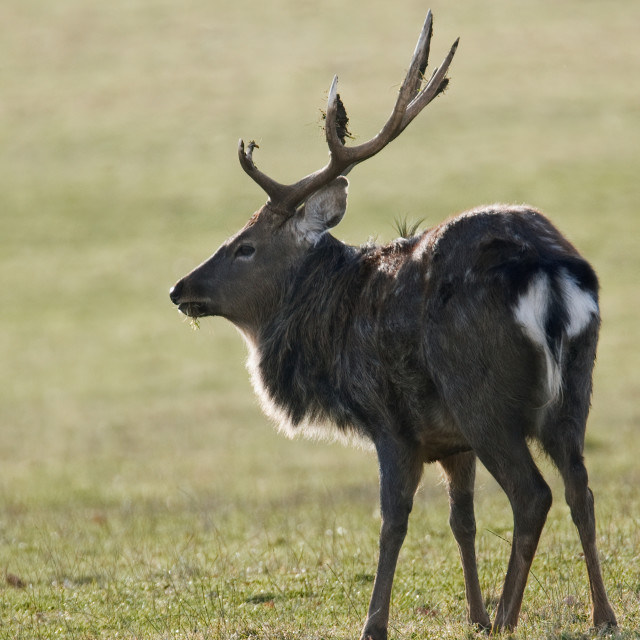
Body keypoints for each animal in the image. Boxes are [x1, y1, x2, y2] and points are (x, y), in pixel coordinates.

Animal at [169, 11, 616, 640]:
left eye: (244, 247)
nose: (179, 289)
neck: (332, 326)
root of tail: (549, 272)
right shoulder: (448, 437)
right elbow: (461, 520)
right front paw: (473, 616)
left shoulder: (391, 421)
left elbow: (393, 521)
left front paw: (376, 623)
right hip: (574, 390)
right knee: (581, 489)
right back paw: (602, 616)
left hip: (483, 395)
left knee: (534, 495)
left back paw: (511, 617)